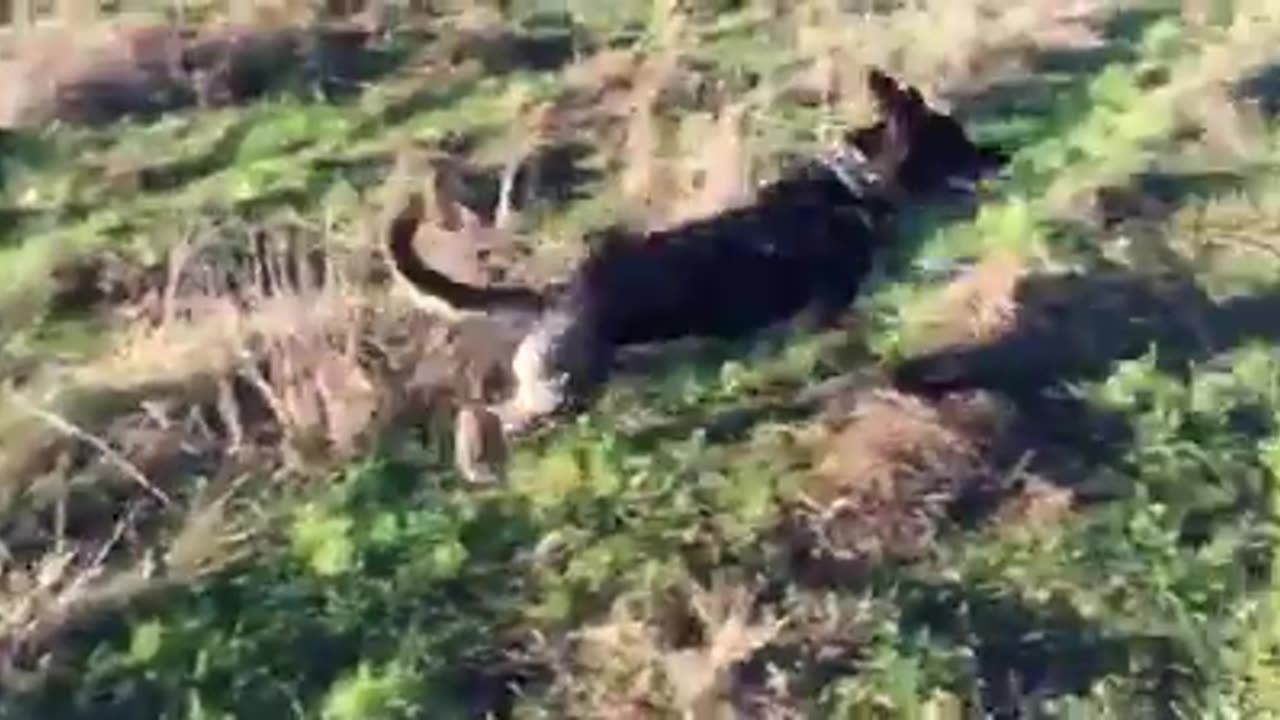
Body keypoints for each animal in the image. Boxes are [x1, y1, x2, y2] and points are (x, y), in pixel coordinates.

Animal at [384, 68, 1003, 430]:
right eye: (955, 140)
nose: (1001, 156)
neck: (856, 186)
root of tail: (556, 294)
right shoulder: (821, 313)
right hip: (560, 388)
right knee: (496, 414)